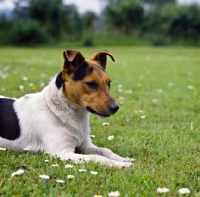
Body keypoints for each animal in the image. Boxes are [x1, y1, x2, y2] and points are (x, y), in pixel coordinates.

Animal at [0, 49, 134, 168]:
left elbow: (106, 151)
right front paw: (120, 165)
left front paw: (124, 159)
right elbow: (97, 157)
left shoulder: (86, 145)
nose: (115, 108)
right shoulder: (63, 153)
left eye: (109, 83)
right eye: (91, 84)